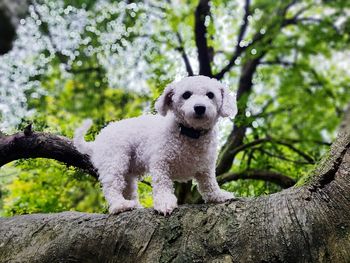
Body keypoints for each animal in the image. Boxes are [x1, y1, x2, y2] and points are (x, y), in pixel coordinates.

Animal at [74, 75, 238, 216]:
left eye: (210, 95)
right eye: (186, 95)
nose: (199, 107)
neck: (190, 133)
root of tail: (97, 141)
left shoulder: (206, 167)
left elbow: (209, 184)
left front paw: (218, 196)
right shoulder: (161, 163)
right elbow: (162, 184)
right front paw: (164, 203)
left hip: (128, 172)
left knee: (127, 188)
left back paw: (134, 206)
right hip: (114, 161)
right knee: (112, 186)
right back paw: (120, 205)